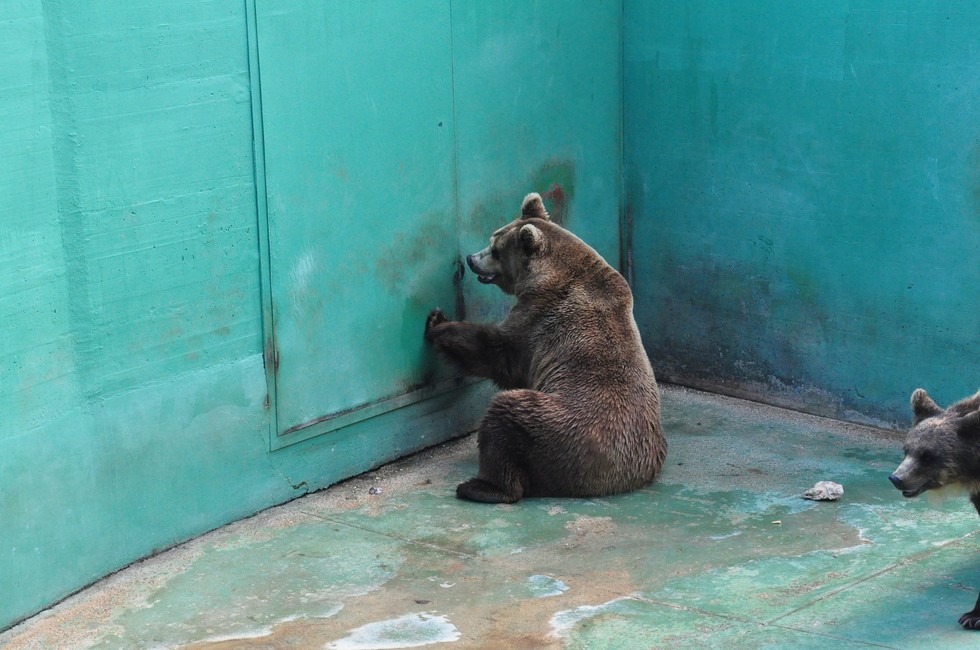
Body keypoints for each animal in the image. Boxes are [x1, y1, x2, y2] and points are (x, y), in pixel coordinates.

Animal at [424, 192, 666, 504]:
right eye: (493, 237)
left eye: (496, 249)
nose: (471, 258)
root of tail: (617, 479)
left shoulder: (538, 320)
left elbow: (499, 353)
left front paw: (438, 323)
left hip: (558, 427)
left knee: (505, 416)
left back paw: (479, 486)